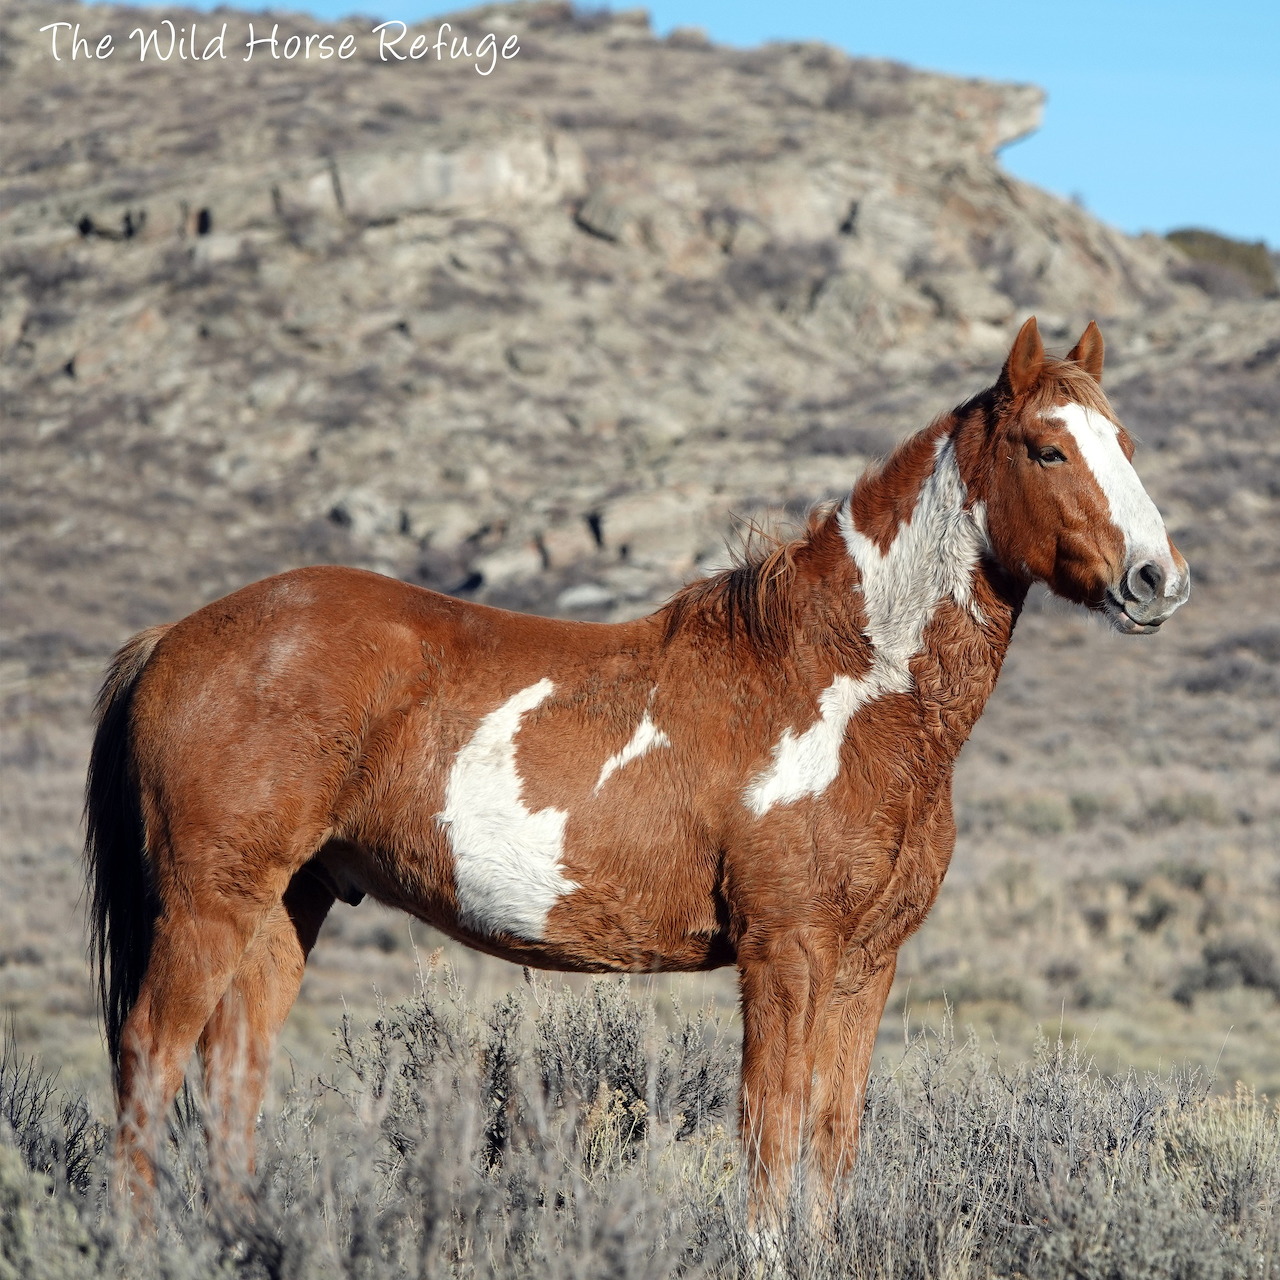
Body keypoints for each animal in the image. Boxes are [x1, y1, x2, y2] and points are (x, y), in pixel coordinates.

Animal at [85, 317, 1189, 1210]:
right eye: (1048, 448)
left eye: (1126, 447)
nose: (1158, 579)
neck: (847, 681)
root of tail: (175, 637)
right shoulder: (784, 954)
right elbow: (771, 1138)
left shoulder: (864, 965)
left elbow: (830, 1144)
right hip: (207, 904)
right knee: (149, 1067)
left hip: (284, 909)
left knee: (231, 1085)